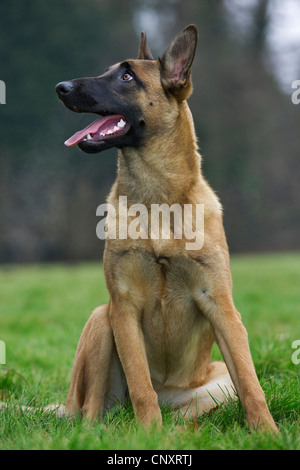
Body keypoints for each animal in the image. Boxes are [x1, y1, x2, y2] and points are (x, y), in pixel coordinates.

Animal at [55, 23, 278, 432]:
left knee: (198, 413)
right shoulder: (123, 306)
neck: (157, 198)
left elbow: (251, 382)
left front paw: (268, 433)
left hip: (215, 385)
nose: (60, 87)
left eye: (127, 76)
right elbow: (140, 383)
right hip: (101, 319)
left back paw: (179, 430)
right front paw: (148, 435)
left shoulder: (220, 304)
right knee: (93, 412)